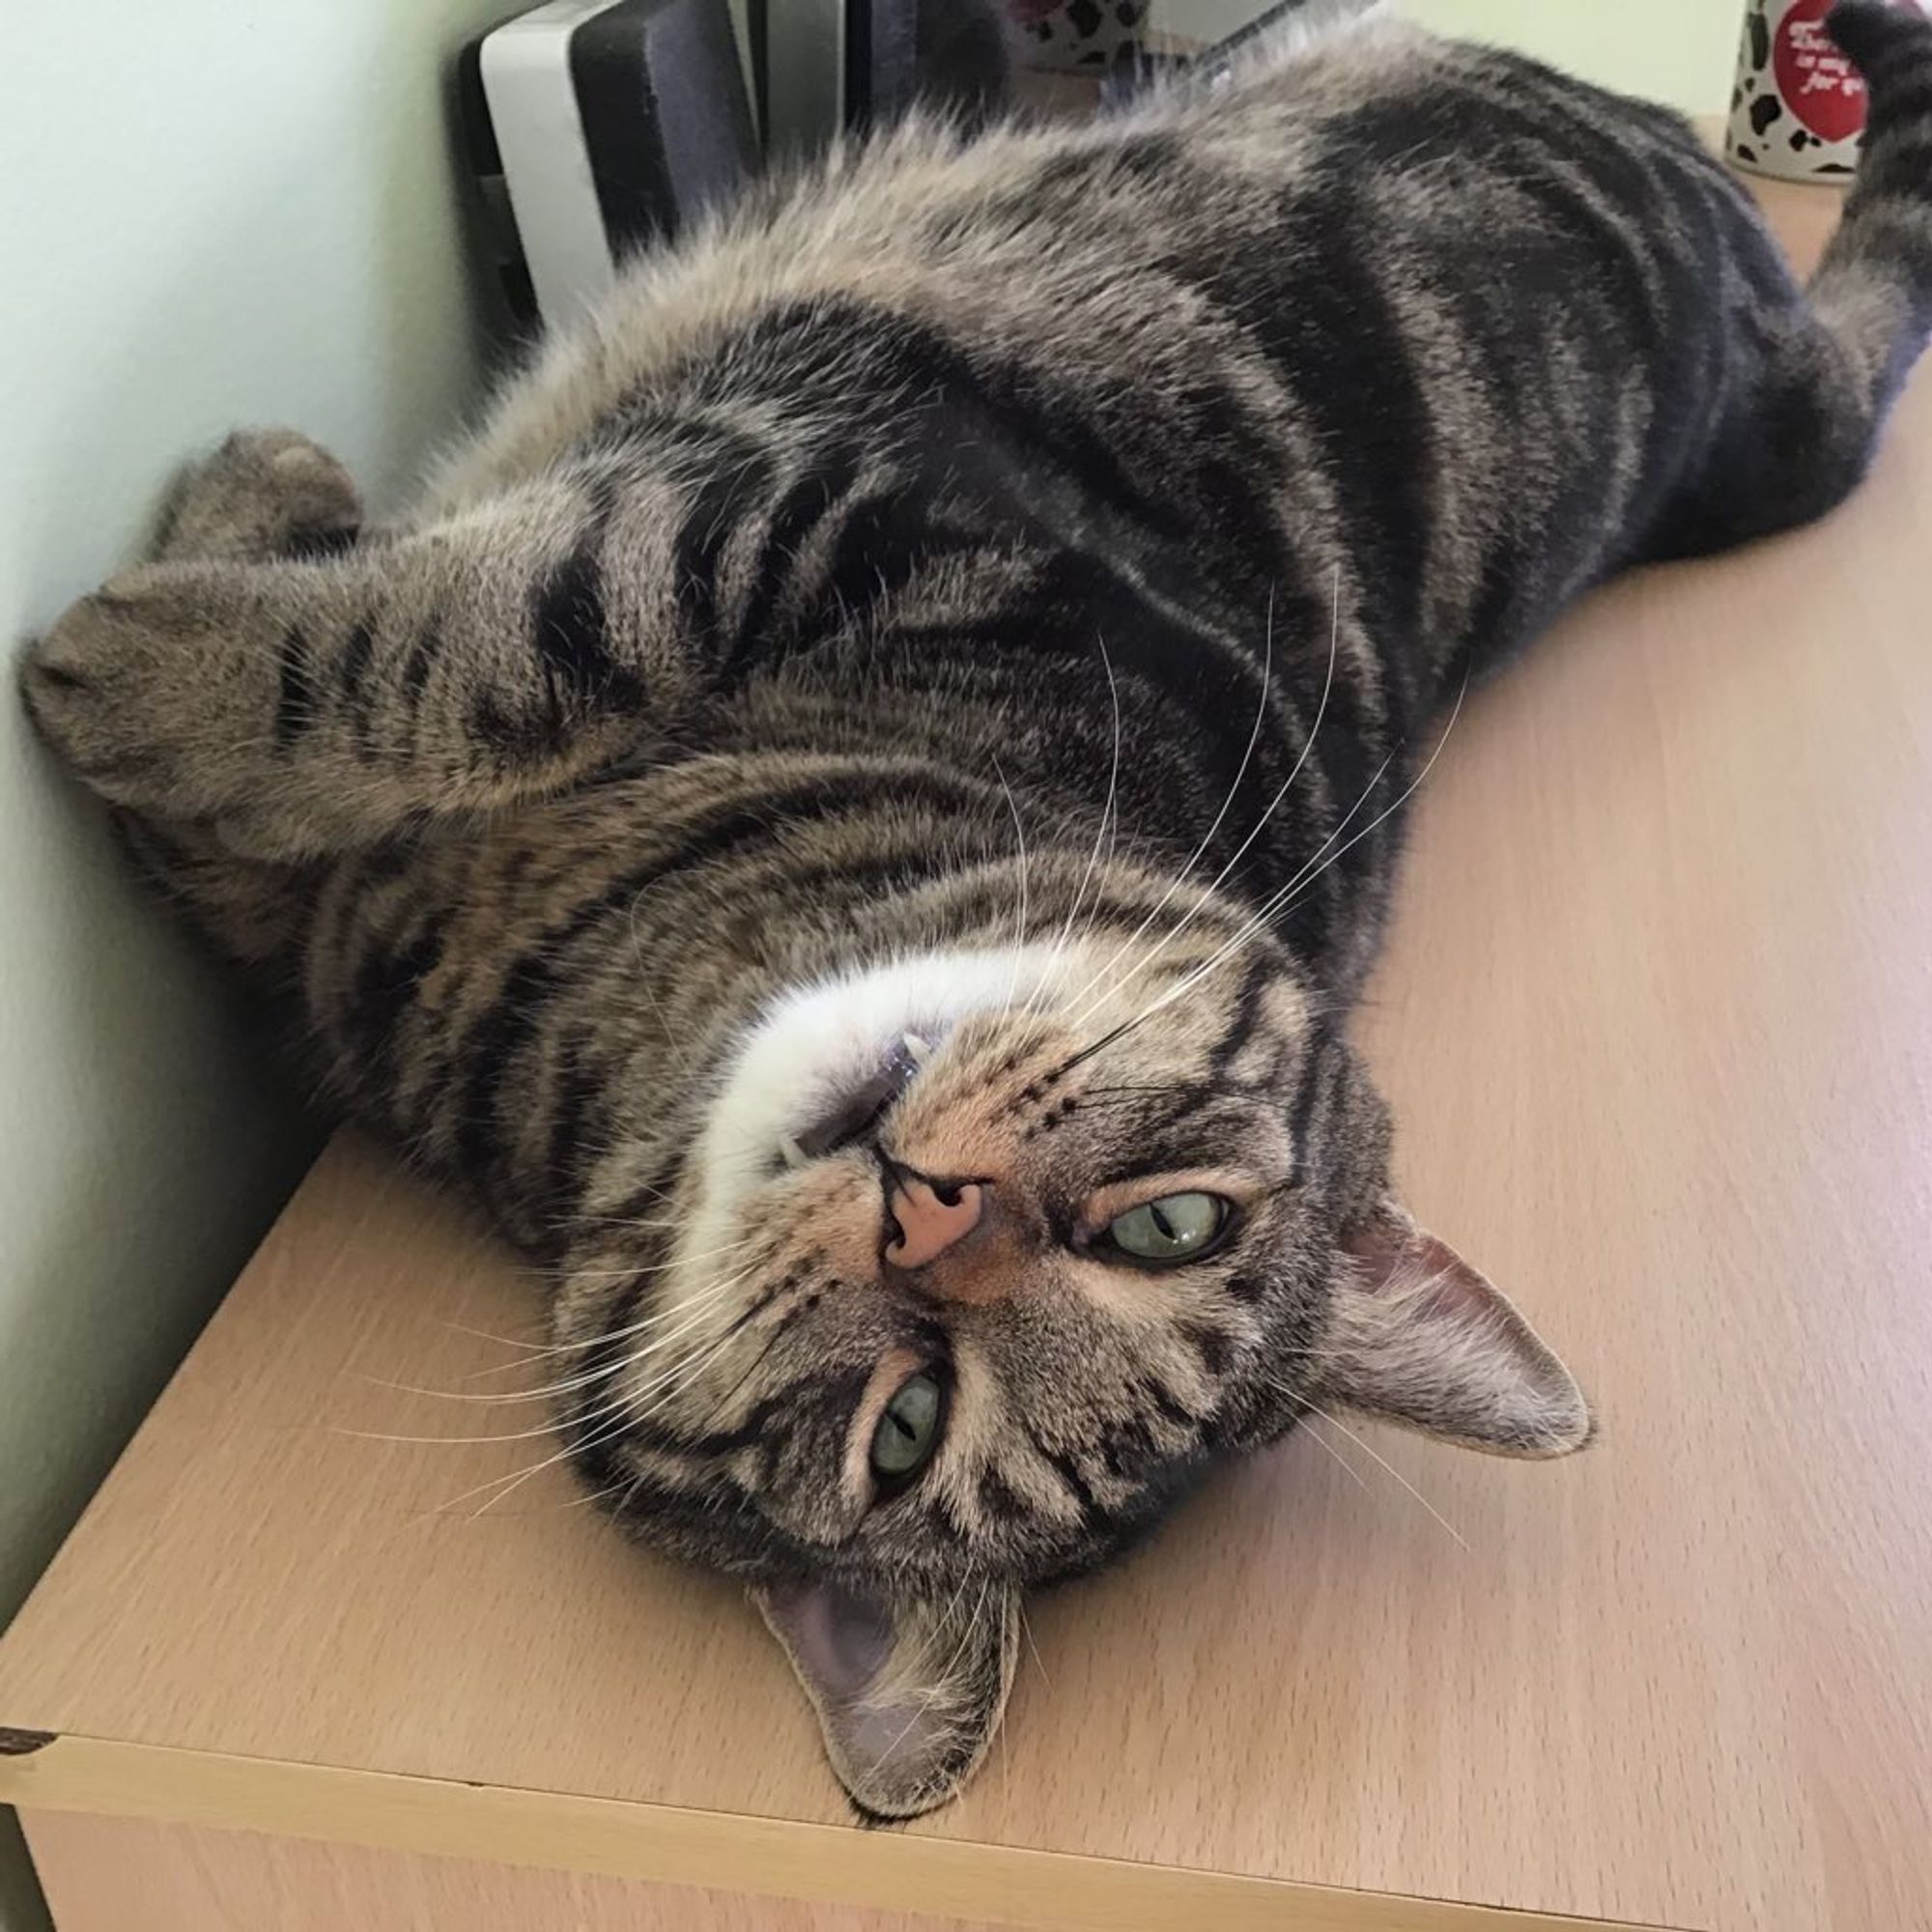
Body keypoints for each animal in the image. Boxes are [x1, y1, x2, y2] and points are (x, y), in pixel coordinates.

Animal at [26, 0, 1932, 1816]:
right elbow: (493, 632)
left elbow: (485, 639)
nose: (926, 1211)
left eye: (907, 1427)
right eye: (1176, 1224)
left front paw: (142, 644)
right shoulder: (865, 506)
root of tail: (1770, 358)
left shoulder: (775, 511)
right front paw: (246, 556)